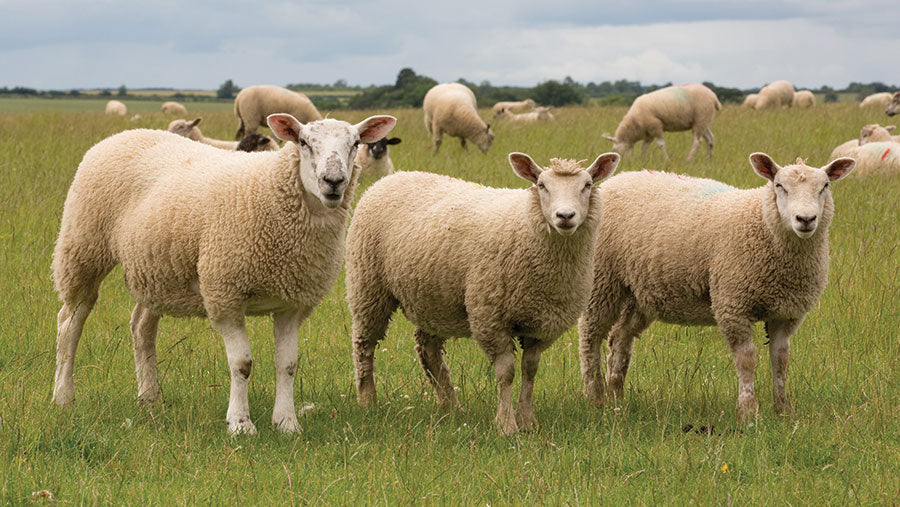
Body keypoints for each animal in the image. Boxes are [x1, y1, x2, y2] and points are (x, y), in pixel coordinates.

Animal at [51, 114, 398, 435]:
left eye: (355, 143)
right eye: (303, 142)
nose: (333, 181)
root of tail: (124, 134)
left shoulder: (293, 301)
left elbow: (287, 365)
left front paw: (287, 423)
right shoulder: (224, 293)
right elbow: (242, 364)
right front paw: (240, 424)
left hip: (158, 269)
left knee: (141, 327)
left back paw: (150, 397)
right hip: (83, 246)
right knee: (70, 322)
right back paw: (63, 397)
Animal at [346, 152, 620, 435]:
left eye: (587, 185)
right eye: (542, 185)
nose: (565, 216)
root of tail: (394, 176)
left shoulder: (541, 324)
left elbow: (530, 370)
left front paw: (527, 420)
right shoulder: (490, 316)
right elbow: (506, 372)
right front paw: (506, 425)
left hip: (432, 297)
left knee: (428, 349)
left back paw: (450, 405)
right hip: (368, 285)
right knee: (364, 344)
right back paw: (367, 399)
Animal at [578, 154, 856, 421]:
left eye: (825, 186)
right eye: (779, 186)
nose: (806, 219)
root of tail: (618, 179)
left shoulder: (786, 314)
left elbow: (781, 360)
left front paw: (783, 412)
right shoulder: (733, 305)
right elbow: (746, 359)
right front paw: (748, 413)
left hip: (640, 293)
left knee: (620, 338)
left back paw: (617, 396)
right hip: (601, 280)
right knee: (590, 336)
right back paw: (595, 397)